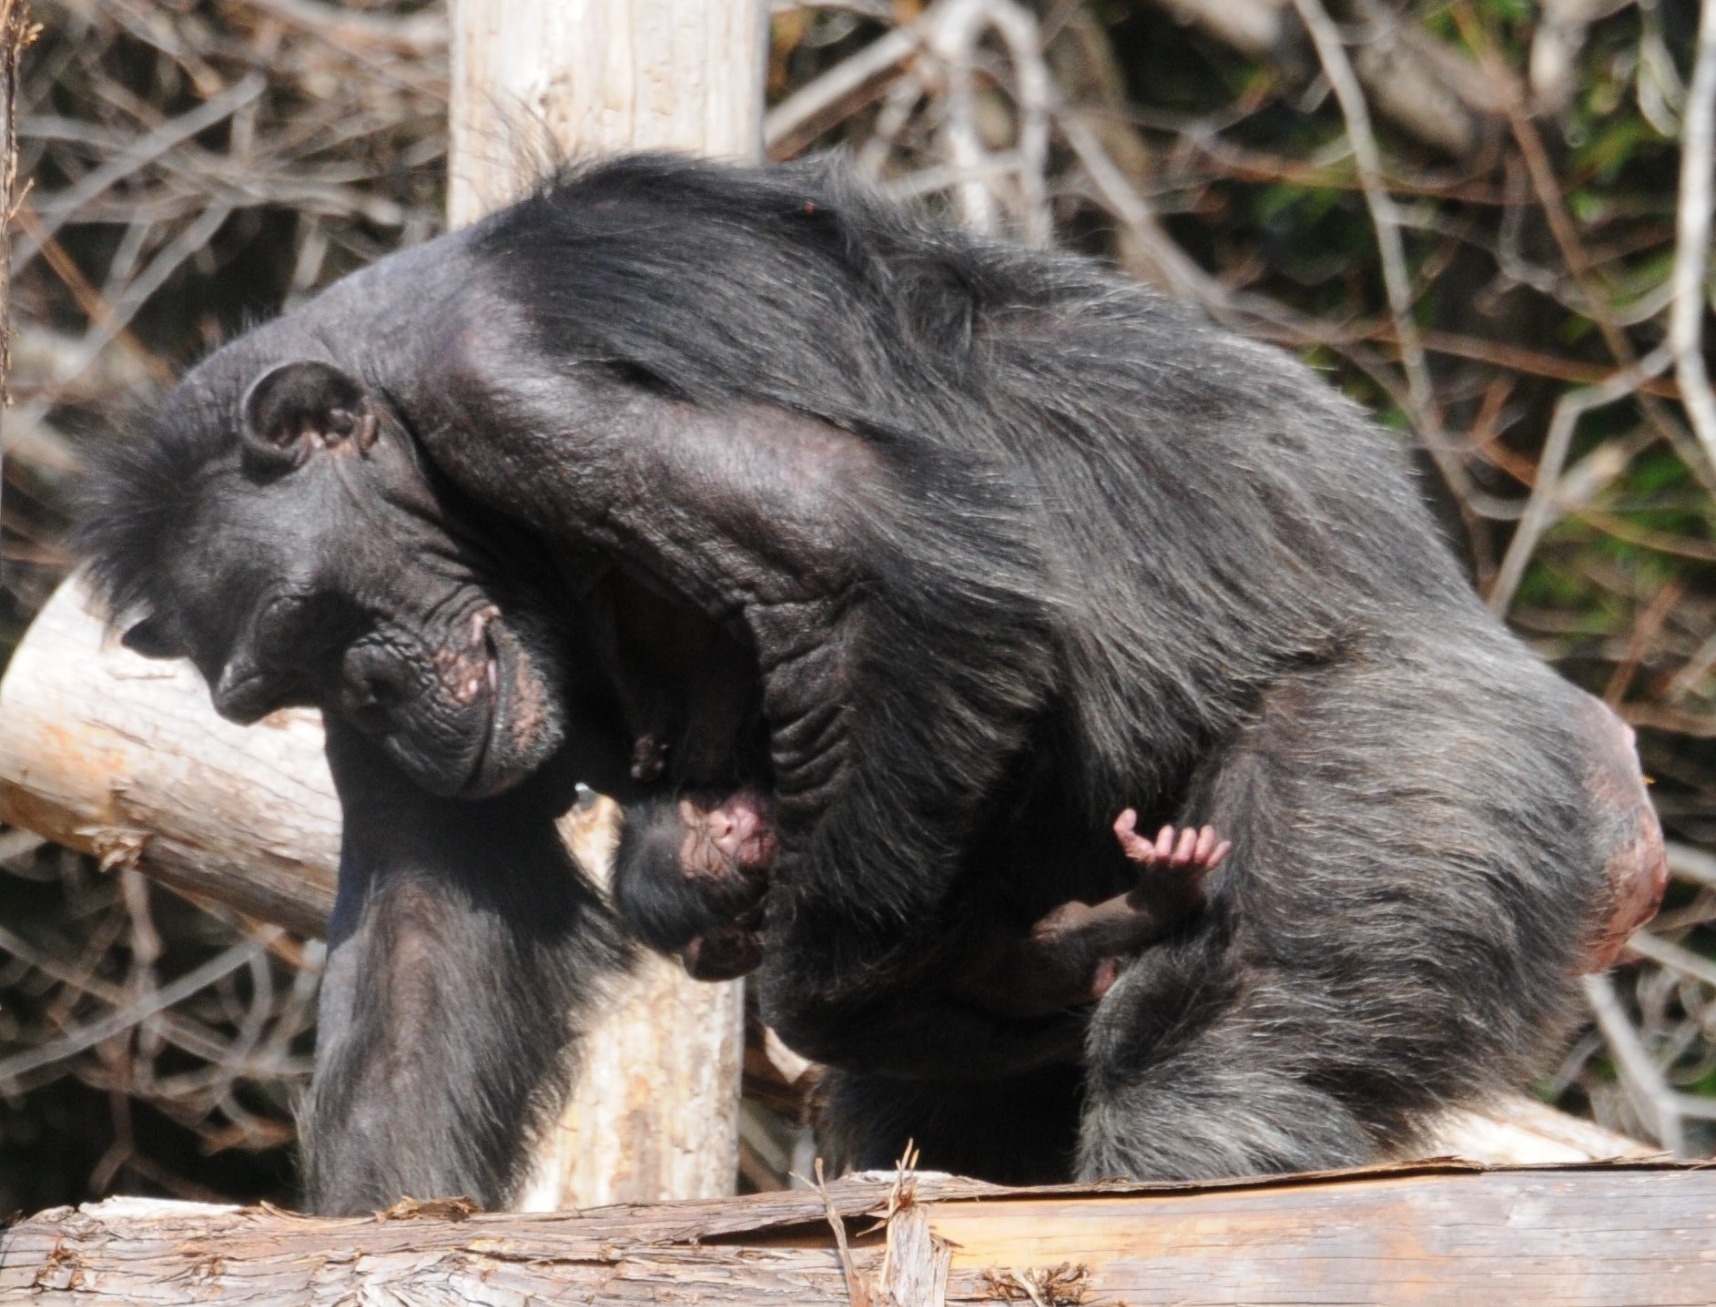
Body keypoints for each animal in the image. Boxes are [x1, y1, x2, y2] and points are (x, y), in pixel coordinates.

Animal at [80, 152, 1661, 1214]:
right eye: (277, 682)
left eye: (314, 619)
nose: (384, 700)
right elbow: (431, 919)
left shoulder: (505, 382)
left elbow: (892, 572)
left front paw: (824, 988)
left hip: (1421, 760)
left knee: (1224, 1074)